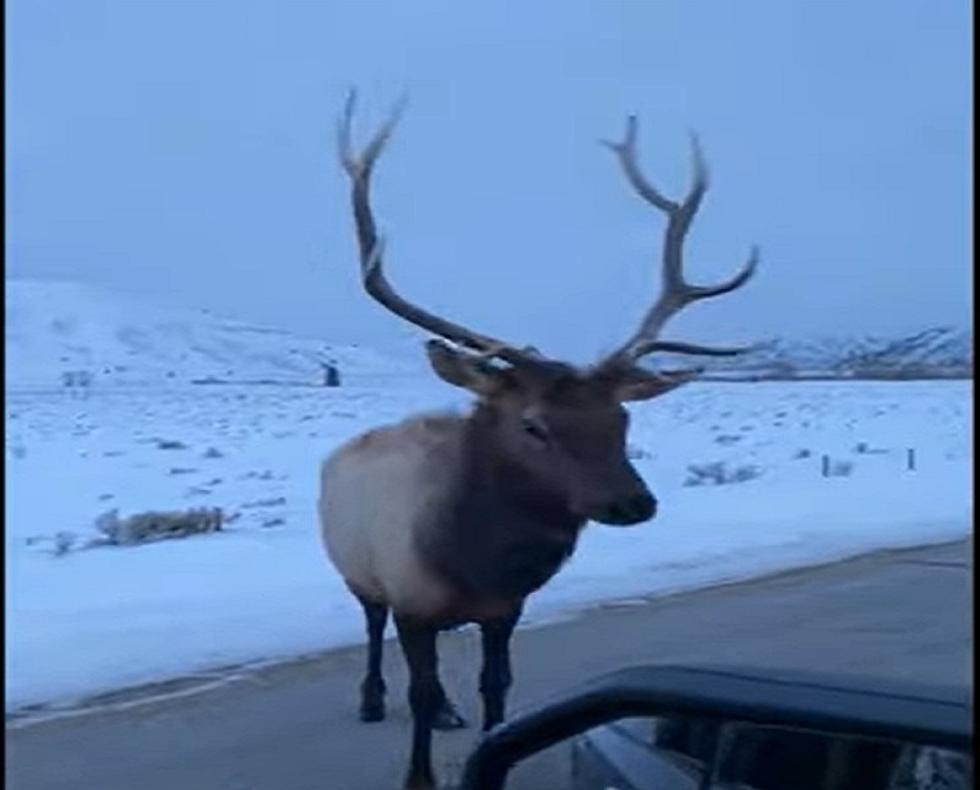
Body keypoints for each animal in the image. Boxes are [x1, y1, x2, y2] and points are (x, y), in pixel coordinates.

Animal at [318, 94, 760, 790]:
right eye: (533, 424)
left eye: (622, 418)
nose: (634, 502)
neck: (469, 560)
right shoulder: (411, 597)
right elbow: (417, 685)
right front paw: (420, 775)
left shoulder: (506, 607)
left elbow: (495, 684)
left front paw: (490, 739)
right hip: (358, 571)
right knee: (371, 627)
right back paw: (370, 699)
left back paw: (448, 711)